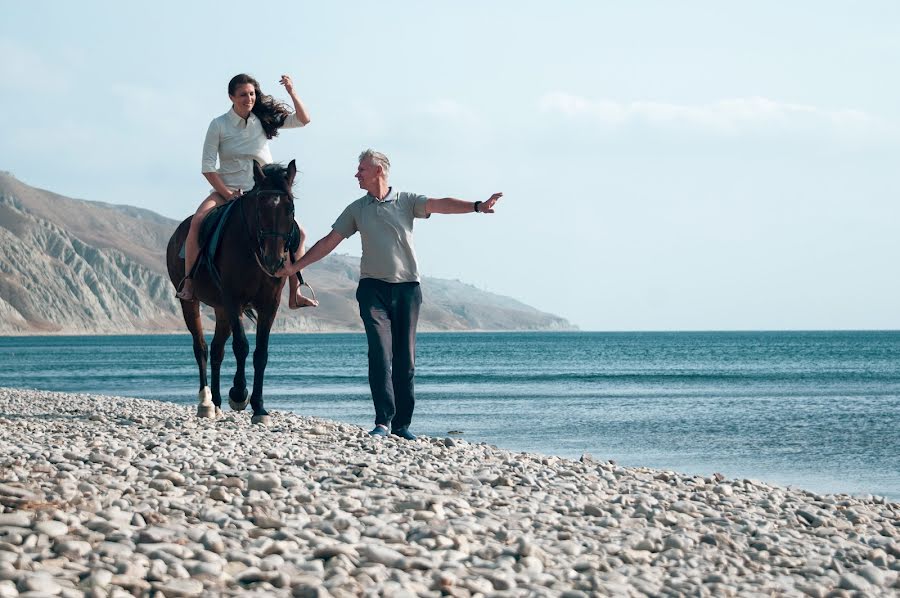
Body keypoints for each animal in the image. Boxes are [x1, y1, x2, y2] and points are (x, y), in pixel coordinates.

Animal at [165, 162, 298, 424]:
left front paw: (259, 408)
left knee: (217, 349)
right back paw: (206, 403)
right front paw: (238, 393)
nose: (273, 260)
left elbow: (261, 353)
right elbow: (242, 346)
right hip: (192, 302)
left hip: (220, 309)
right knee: (201, 348)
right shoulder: (233, 299)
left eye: (290, 209)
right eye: (259, 208)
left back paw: (216, 403)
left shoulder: (270, 304)